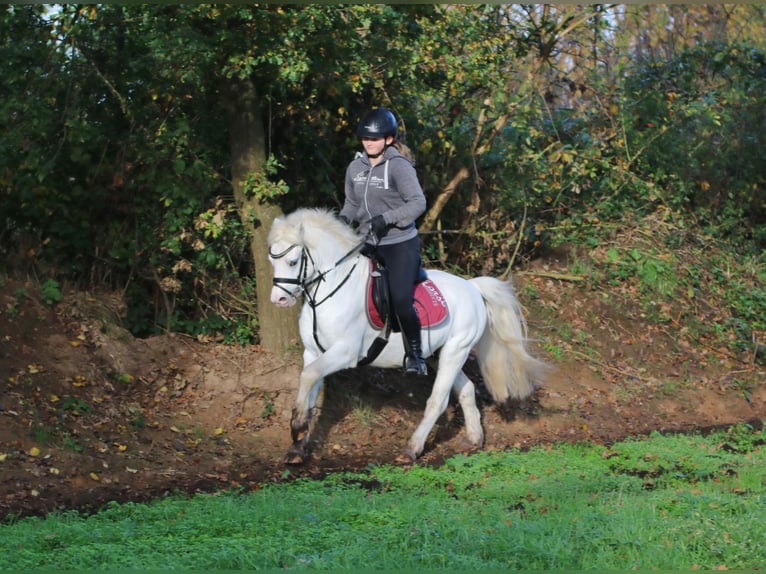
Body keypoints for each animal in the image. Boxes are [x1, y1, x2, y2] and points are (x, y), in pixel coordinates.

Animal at [268, 209, 548, 466]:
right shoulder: (313, 352)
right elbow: (309, 386)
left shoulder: (345, 352)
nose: (278, 300)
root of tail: (472, 286)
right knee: (467, 389)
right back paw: (474, 439)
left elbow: (308, 376)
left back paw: (412, 448)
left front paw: (297, 427)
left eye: (293, 261)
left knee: (438, 400)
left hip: (456, 350)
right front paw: (298, 444)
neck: (329, 293)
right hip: (439, 353)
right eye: (273, 261)